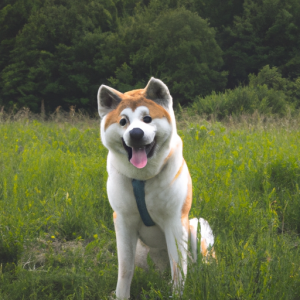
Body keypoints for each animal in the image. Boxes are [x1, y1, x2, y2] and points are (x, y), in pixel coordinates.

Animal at [97, 78, 214, 300]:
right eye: (123, 121)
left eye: (147, 118)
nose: (136, 133)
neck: (142, 178)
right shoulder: (123, 222)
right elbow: (125, 270)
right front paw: (121, 295)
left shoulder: (175, 221)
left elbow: (178, 267)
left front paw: (177, 294)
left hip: (195, 226)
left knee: (197, 264)